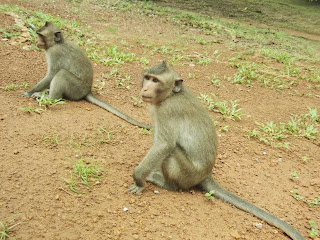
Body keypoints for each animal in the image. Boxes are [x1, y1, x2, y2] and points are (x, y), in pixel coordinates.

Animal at [21, 21, 152, 130]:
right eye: (38, 34)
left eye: (41, 36)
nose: (36, 41)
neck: (56, 44)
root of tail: (87, 90)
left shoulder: (55, 53)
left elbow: (51, 75)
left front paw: (29, 92)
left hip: (76, 89)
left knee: (62, 73)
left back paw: (50, 98)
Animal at [128, 61, 304, 240]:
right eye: (148, 78)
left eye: (156, 81)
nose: (145, 89)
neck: (171, 95)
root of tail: (206, 174)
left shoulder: (168, 110)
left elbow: (164, 145)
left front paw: (139, 179)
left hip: (188, 174)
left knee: (173, 153)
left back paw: (167, 184)